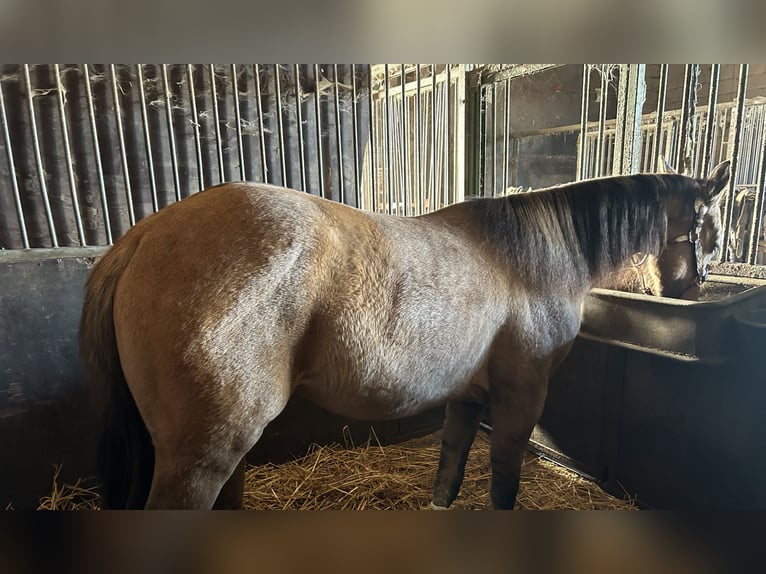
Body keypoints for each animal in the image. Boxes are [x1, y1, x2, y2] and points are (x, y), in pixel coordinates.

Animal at [79, 160, 732, 510]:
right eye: (715, 231)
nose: (693, 294)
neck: (533, 258)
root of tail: (144, 236)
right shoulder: (522, 397)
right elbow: (503, 480)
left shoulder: (468, 398)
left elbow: (449, 471)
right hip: (203, 455)